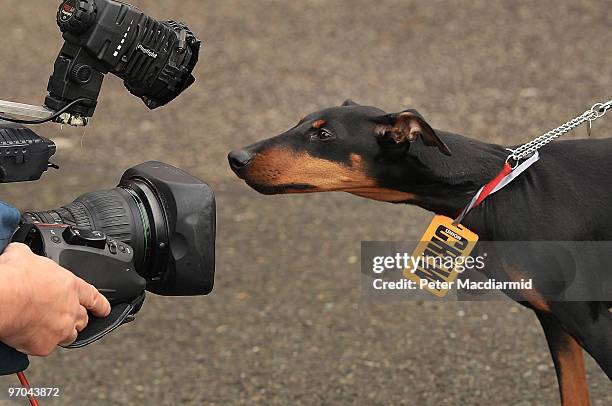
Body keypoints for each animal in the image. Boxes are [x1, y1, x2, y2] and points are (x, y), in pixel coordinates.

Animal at [230, 100, 612, 404]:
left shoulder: (590, 321)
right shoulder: (554, 319)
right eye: (299, 123)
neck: (502, 190)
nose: (235, 157)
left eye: (323, 135)